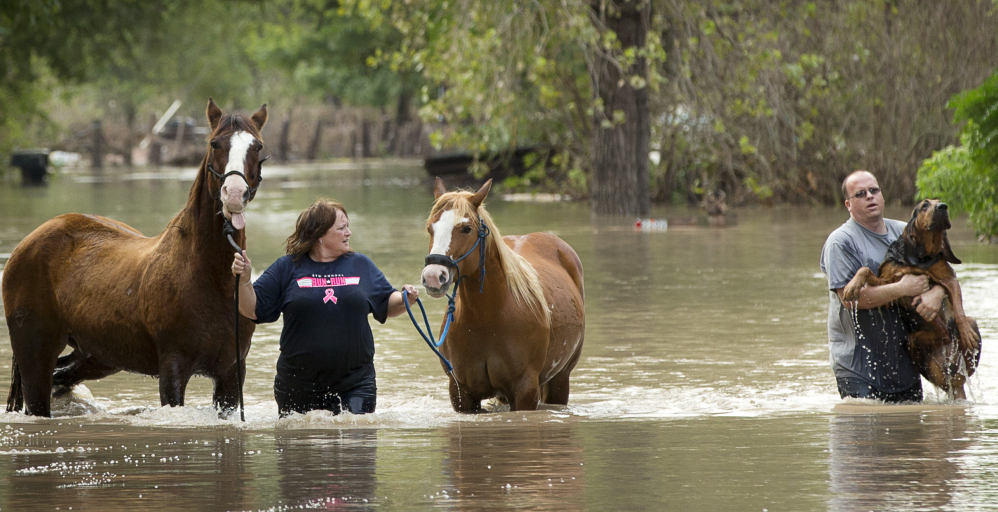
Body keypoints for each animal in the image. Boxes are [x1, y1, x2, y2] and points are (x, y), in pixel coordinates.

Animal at [3, 99, 268, 416]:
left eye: (257, 146)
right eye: (215, 143)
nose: (234, 195)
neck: (211, 278)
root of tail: (27, 243)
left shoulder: (230, 375)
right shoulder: (172, 369)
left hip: (96, 354)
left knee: (63, 375)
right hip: (35, 358)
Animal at [420, 177, 584, 412]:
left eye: (467, 229)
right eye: (430, 228)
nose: (434, 276)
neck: (488, 316)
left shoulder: (525, 390)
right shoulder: (462, 393)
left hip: (560, 380)